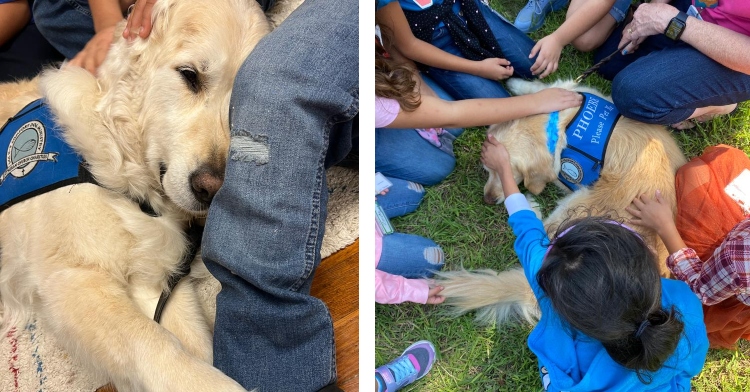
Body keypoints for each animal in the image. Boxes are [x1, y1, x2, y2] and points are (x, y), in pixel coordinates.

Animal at [0, 0, 272, 390]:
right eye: (190, 75)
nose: (211, 190)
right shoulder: (70, 279)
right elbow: (153, 344)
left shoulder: (159, 280)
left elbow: (196, 346)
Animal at [438, 78, 692, 326]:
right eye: (487, 170)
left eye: (506, 173)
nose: (488, 199)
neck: (562, 122)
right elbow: (541, 88)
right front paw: (516, 83)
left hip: (581, 200)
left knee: (538, 234)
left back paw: (530, 206)